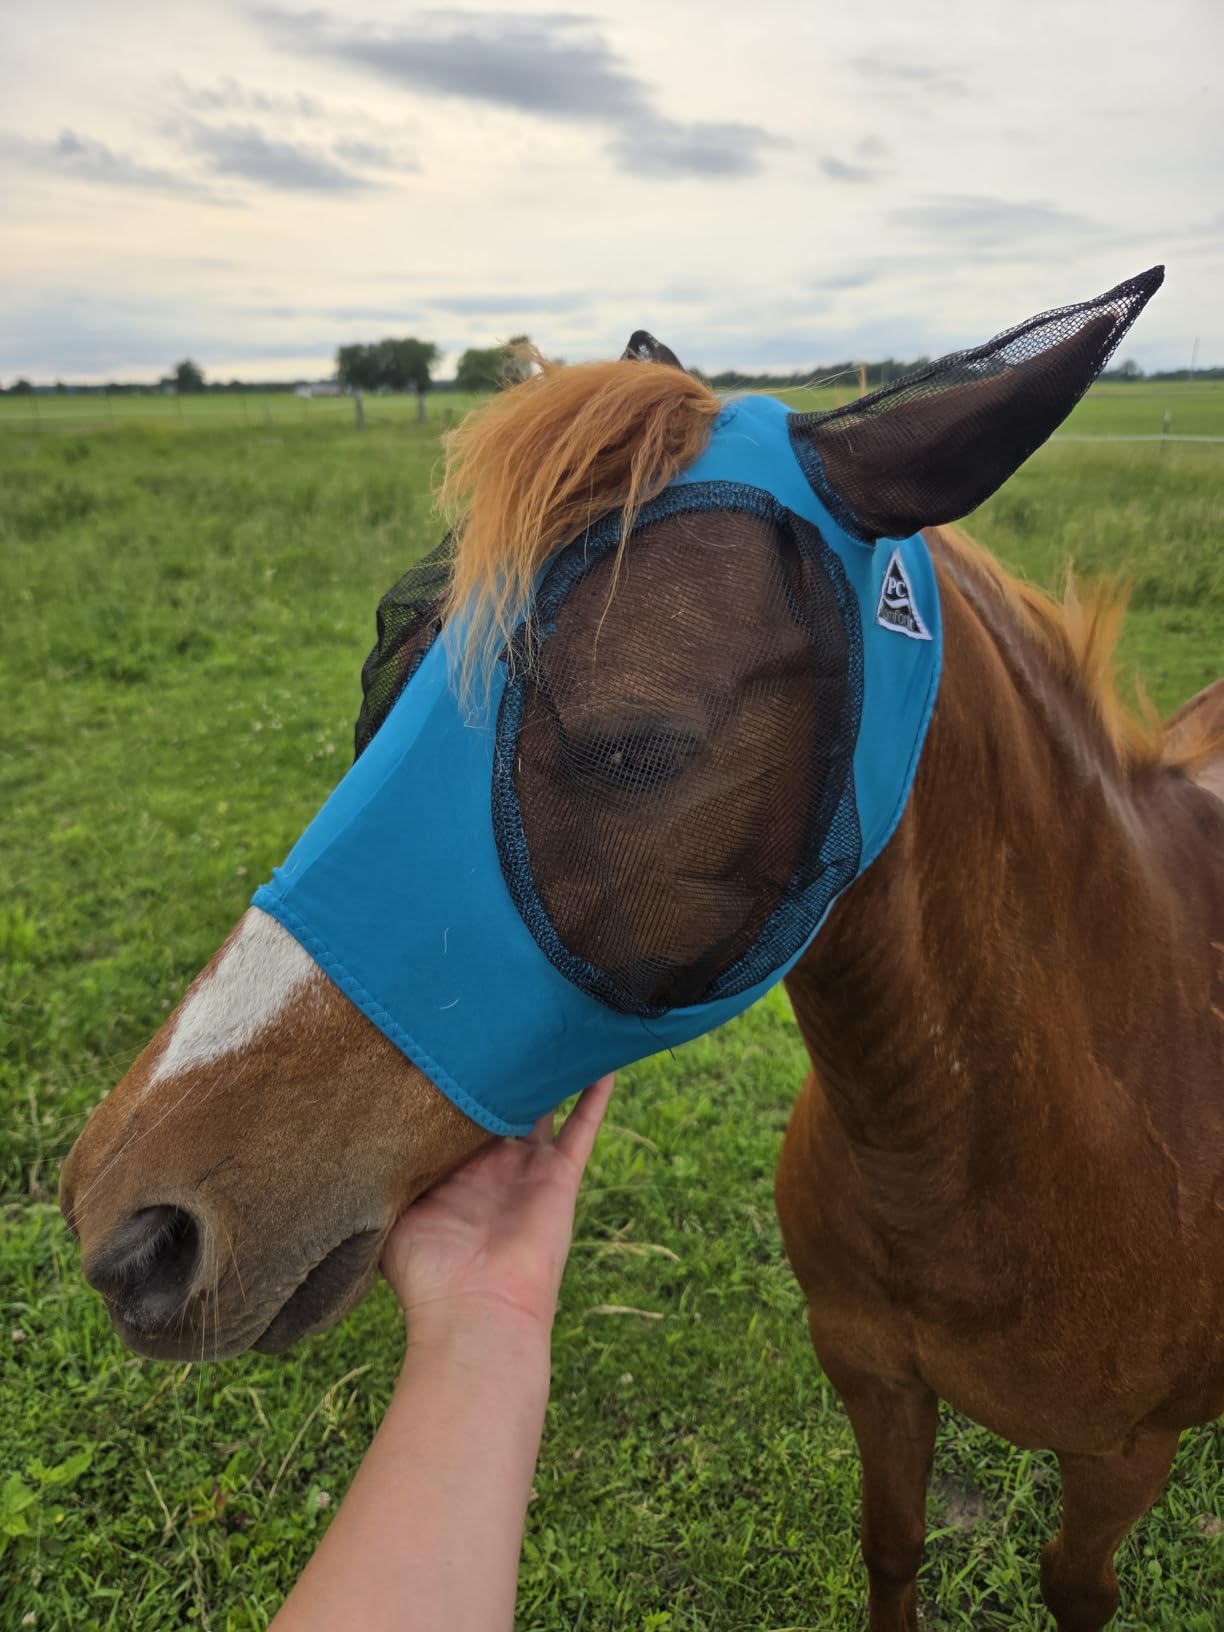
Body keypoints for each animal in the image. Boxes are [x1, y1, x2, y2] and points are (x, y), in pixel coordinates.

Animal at [60, 271, 1224, 1630]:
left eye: (638, 747)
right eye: (386, 680)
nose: (127, 1223)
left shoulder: (1122, 1460)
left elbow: (1075, 1587)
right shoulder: (874, 1378)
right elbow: (893, 1544)